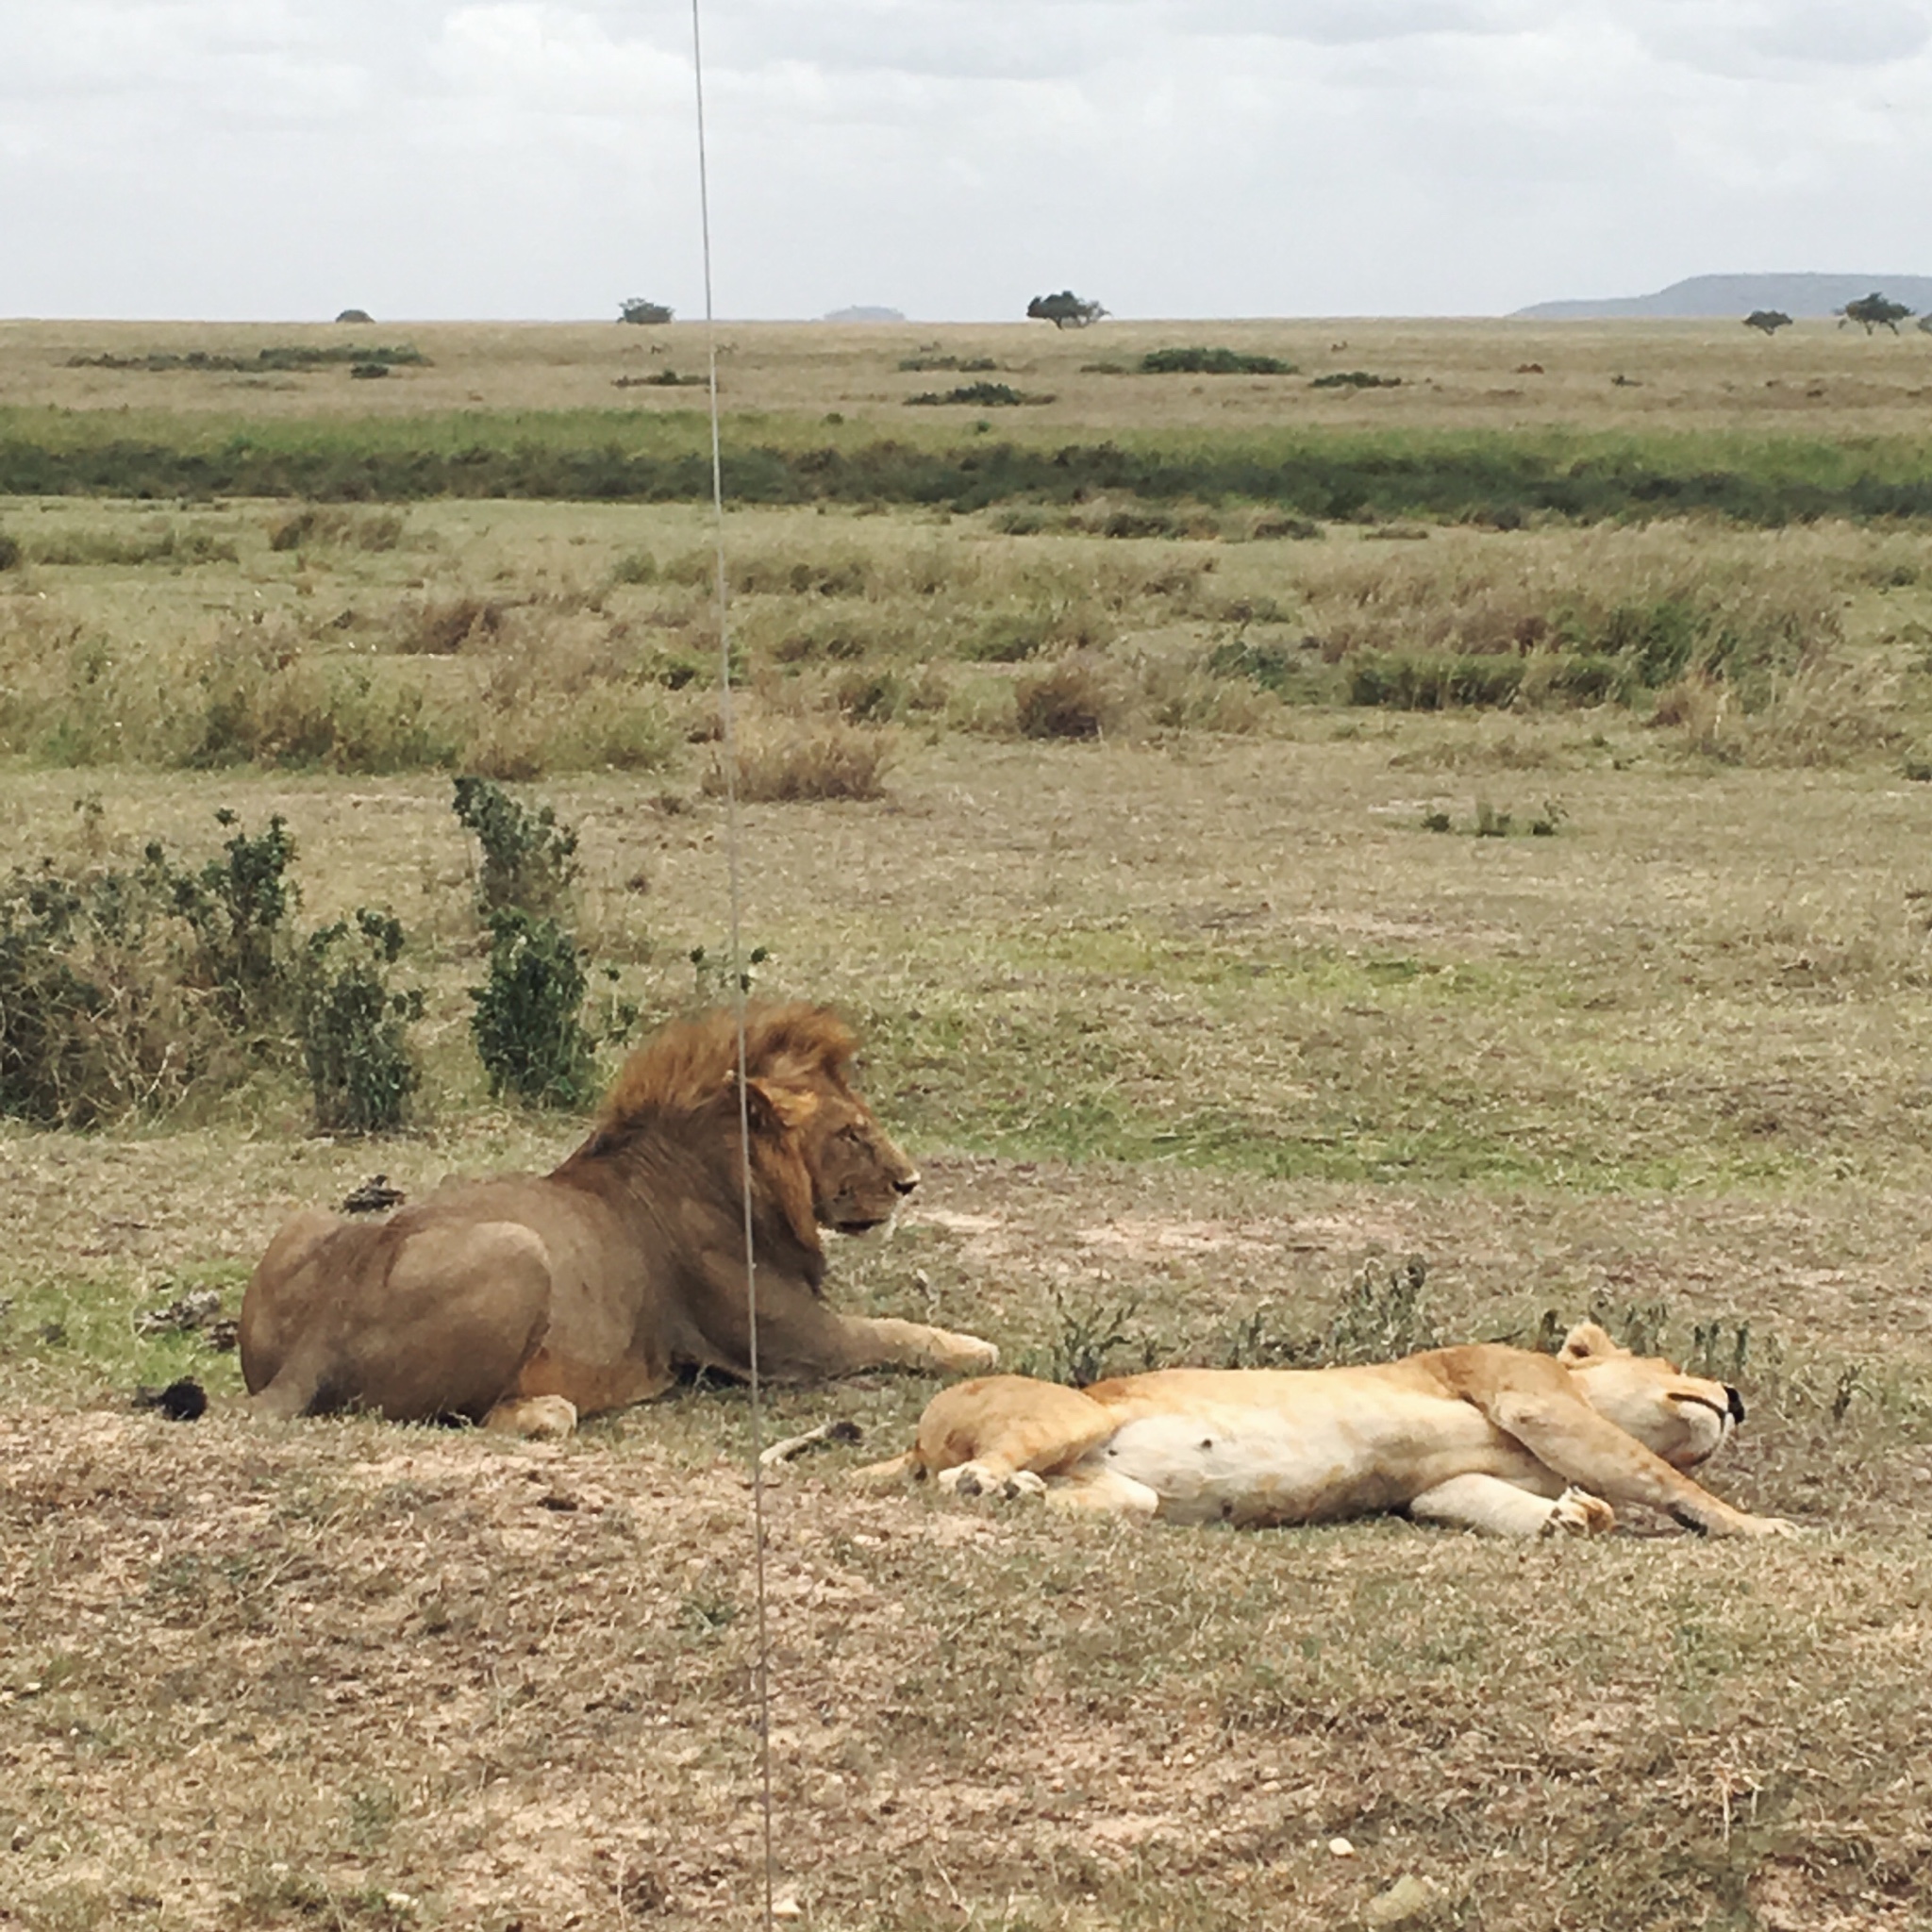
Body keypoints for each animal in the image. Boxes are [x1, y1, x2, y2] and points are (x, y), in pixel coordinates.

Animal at [237, 1012, 996, 1437]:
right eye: (851, 1134)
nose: (910, 1183)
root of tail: (326, 1322)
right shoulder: (793, 1344)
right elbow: (896, 1332)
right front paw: (977, 1349)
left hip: (303, 1223)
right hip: (521, 1249)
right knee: (451, 1413)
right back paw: (545, 1412)